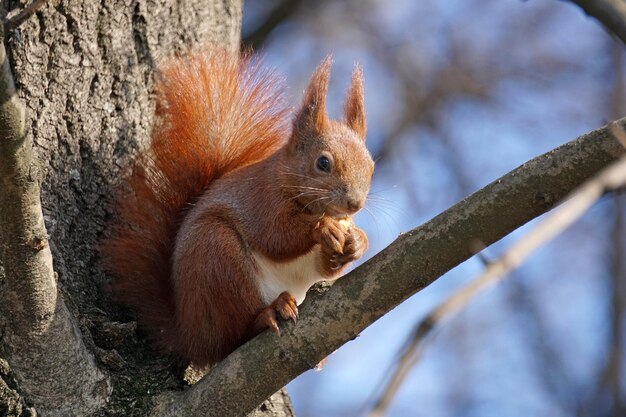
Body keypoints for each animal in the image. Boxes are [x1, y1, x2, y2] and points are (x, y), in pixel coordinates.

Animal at [102, 49, 372, 368]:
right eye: (323, 163)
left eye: (371, 166)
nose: (354, 203)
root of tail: (189, 336)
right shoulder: (260, 200)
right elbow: (276, 237)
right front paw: (323, 227)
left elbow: (325, 269)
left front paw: (358, 242)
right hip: (218, 256)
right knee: (231, 337)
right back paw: (268, 313)